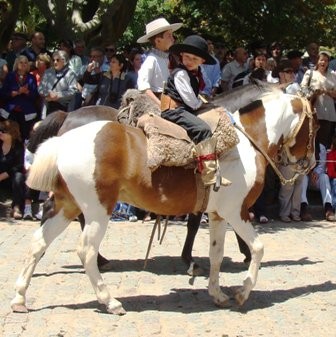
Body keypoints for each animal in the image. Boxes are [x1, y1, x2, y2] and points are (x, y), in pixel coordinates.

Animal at [11, 86, 318, 312]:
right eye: (314, 124)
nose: (310, 163)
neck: (243, 143)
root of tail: (65, 139)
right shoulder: (236, 211)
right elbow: (258, 248)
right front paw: (242, 293)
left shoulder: (218, 214)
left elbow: (216, 254)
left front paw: (217, 293)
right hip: (97, 209)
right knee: (85, 250)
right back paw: (110, 300)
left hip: (67, 205)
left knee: (39, 242)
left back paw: (19, 298)